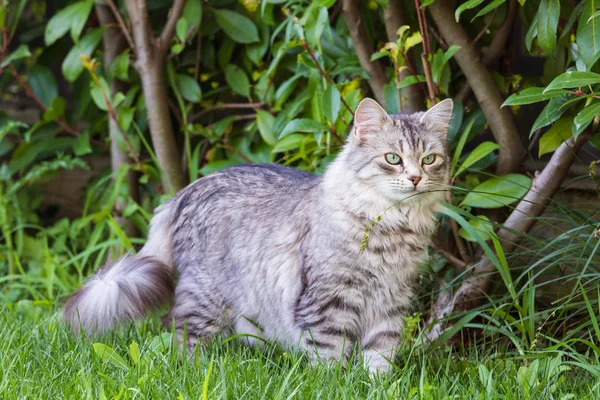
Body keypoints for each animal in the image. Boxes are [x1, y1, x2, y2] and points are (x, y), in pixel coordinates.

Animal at [63, 97, 452, 376]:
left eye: (430, 159)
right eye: (393, 158)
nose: (416, 178)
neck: (392, 230)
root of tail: (186, 191)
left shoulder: (390, 303)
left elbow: (380, 356)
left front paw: (375, 385)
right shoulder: (328, 303)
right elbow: (330, 356)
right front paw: (336, 384)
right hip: (204, 297)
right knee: (181, 333)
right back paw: (195, 372)